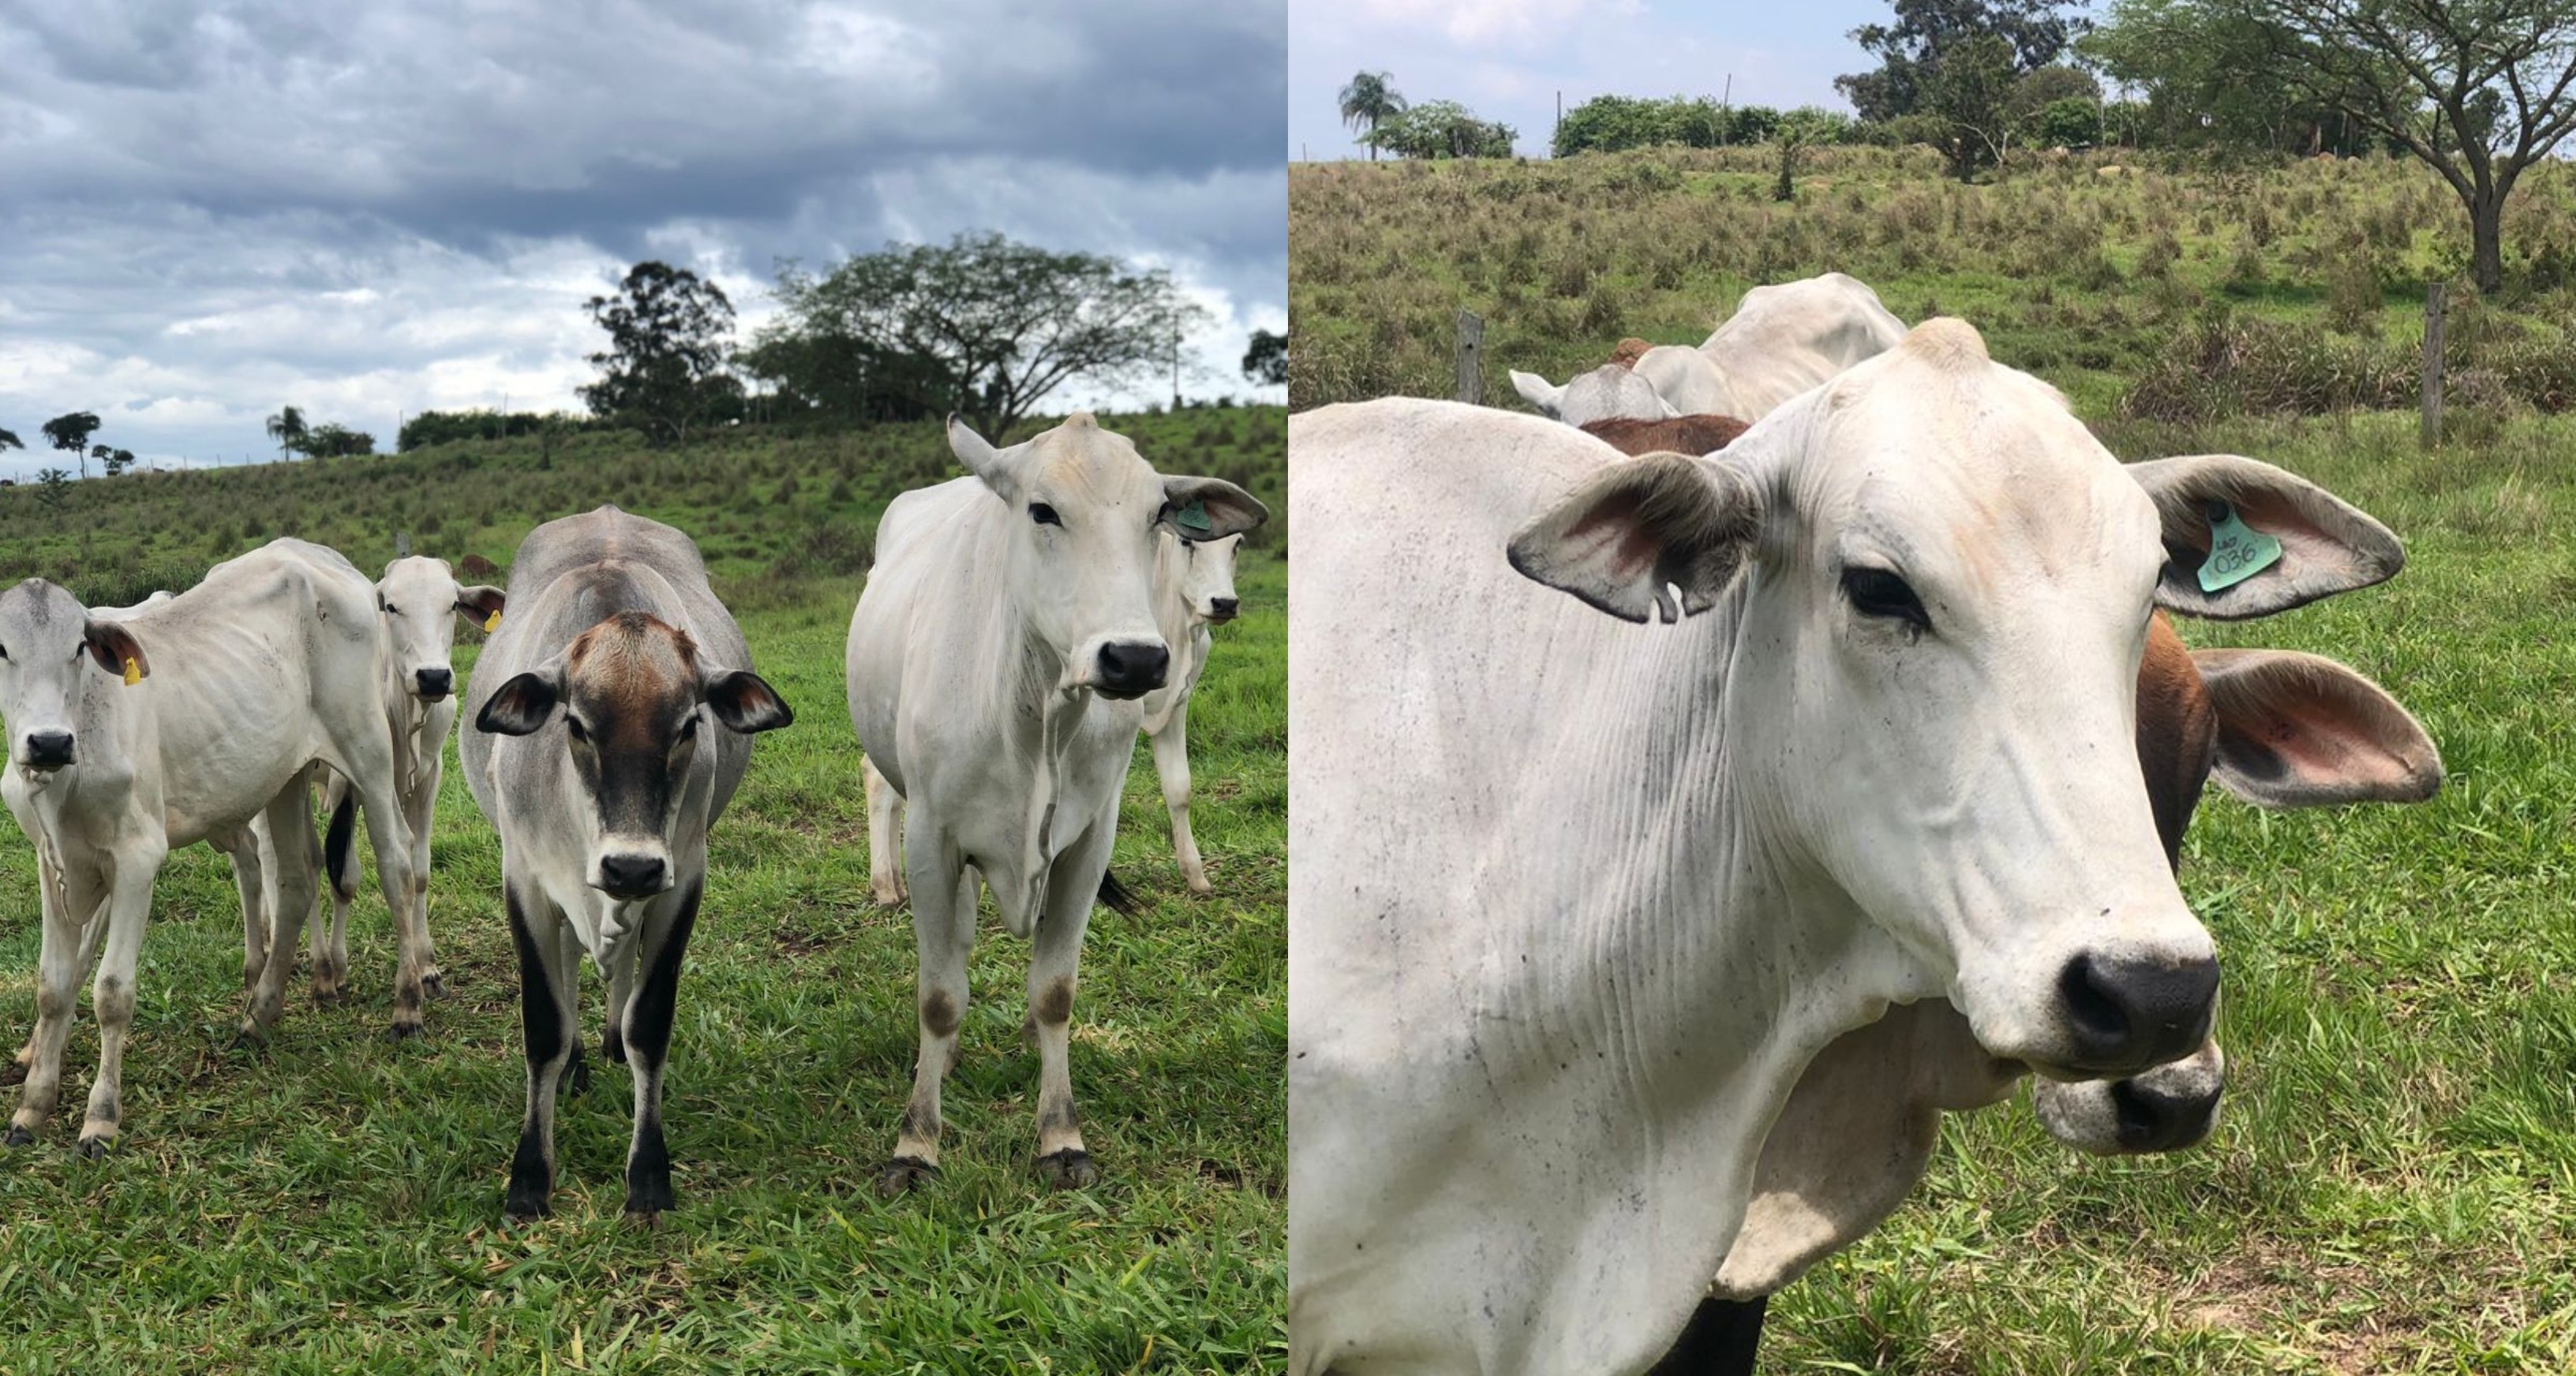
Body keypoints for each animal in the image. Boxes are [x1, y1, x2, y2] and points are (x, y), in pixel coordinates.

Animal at [0, 538, 427, 1154]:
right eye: (1, 648)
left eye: (79, 645)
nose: (50, 742)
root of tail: (324, 560)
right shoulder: (52, 862)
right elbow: (54, 986)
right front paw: (33, 1106)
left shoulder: (137, 858)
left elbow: (111, 991)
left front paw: (101, 1116)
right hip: (285, 776)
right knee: (295, 881)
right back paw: (260, 1016)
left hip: (367, 750)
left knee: (396, 862)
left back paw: (408, 1005)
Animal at [461, 512, 783, 1226]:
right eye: (578, 725)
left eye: (688, 724)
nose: (629, 866)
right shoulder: (525, 881)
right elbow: (544, 1024)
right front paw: (530, 1177)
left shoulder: (681, 878)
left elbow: (649, 1023)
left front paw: (649, 1173)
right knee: (569, 962)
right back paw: (580, 1062)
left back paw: (605, 1041)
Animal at [850, 414, 1262, 1200]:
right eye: (1042, 511)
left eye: (1159, 516)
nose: (1135, 659)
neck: (1035, 708)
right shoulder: (933, 839)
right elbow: (939, 997)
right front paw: (916, 1145)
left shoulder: (1088, 842)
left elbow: (1054, 992)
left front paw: (1060, 1136)